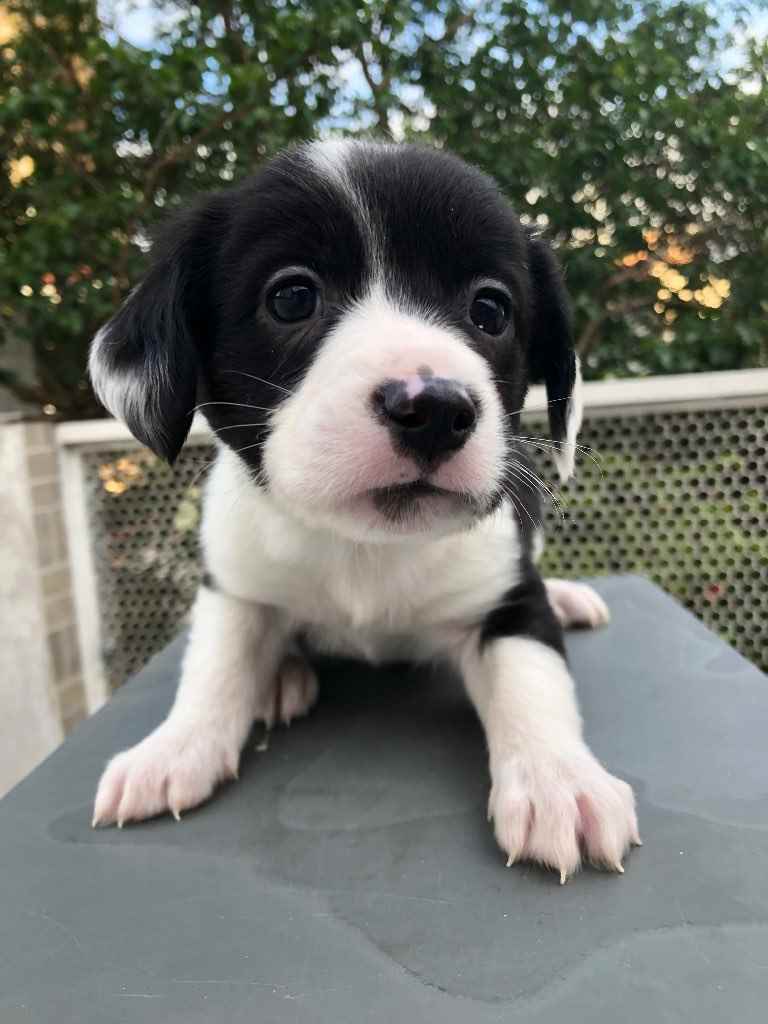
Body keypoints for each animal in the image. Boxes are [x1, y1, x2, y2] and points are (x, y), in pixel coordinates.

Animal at [89, 140, 639, 882]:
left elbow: (534, 678)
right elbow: (216, 664)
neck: (364, 548)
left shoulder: (508, 597)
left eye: (491, 310)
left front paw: (561, 781)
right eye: (292, 297)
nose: (433, 408)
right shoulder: (233, 583)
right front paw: (174, 747)